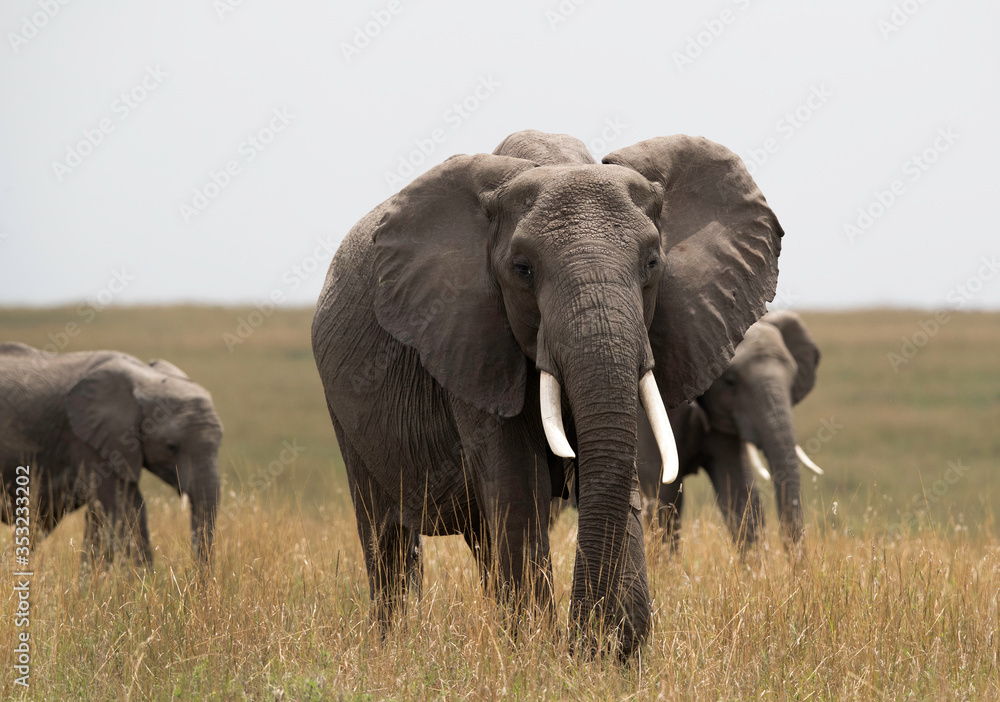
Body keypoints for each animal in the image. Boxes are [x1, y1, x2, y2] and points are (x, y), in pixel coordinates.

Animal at [312, 129, 784, 656]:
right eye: (522, 270)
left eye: (652, 263)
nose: (583, 640)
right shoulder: (471, 339)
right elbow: (517, 481)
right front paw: (539, 655)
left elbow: (615, 467)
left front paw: (614, 655)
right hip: (344, 413)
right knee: (387, 542)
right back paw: (395, 646)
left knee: (479, 540)